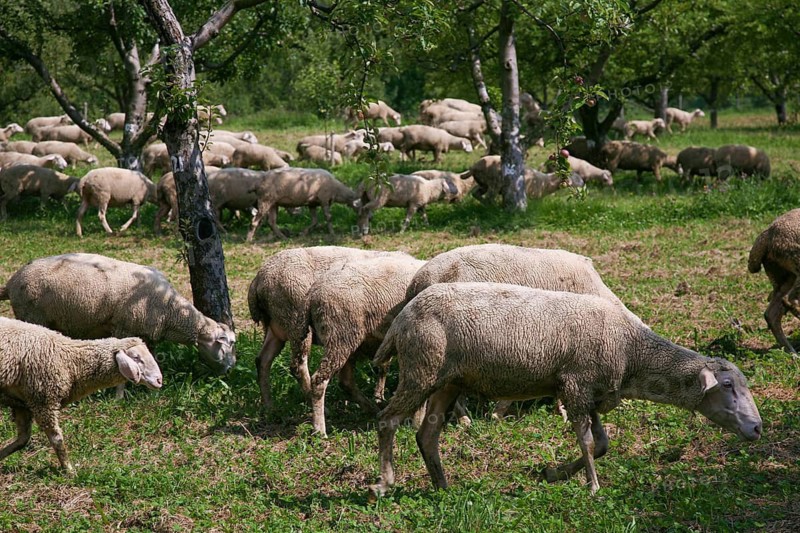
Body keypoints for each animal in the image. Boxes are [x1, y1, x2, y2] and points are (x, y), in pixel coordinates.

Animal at [0, 252, 236, 377]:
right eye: (230, 344)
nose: (233, 368)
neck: (170, 311)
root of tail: (12, 282)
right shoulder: (126, 328)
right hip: (31, 315)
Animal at [0, 317, 162, 474]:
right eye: (136, 358)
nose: (159, 380)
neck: (70, 361)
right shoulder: (43, 400)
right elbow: (57, 439)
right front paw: (69, 470)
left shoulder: (22, 403)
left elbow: (22, 439)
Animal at [248, 246, 411, 410]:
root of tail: (259, 279)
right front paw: (380, 397)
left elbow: (384, 365)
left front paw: (379, 396)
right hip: (296, 323)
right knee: (298, 367)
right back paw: (317, 405)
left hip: (275, 327)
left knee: (262, 360)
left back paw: (269, 406)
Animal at [305, 255, 427, 436]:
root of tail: (314, 292)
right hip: (339, 336)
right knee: (319, 380)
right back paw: (320, 430)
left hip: (348, 340)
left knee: (346, 382)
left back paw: (373, 409)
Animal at [367, 283, 762, 498]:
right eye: (727, 385)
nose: (757, 428)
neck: (631, 349)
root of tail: (403, 315)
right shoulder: (575, 384)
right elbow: (587, 443)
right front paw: (593, 487)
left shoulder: (594, 395)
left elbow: (602, 444)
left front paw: (554, 473)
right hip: (421, 369)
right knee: (387, 421)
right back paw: (384, 483)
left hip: (447, 380)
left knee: (427, 434)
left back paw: (442, 486)